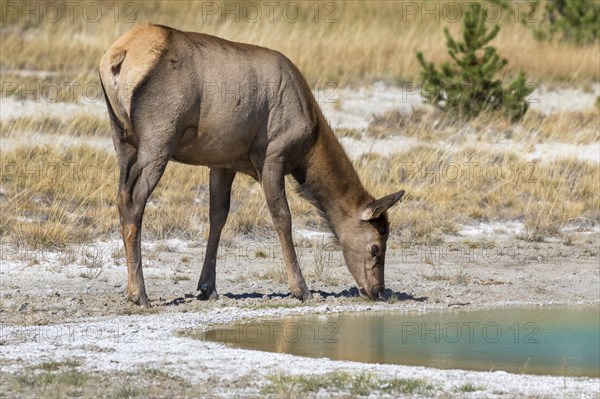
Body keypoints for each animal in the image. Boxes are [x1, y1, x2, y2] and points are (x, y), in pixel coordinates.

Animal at [101, 23, 406, 308]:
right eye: (376, 247)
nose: (377, 290)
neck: (308, 147)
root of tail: (117, 56)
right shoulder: (273, 156)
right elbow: (283, 218)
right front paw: (301, 289)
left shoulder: (223, 161)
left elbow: (218, 216)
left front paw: (208, 288)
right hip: (159, 138)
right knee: (134, 200)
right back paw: (139, 294)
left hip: (122, 138)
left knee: (120, 195)